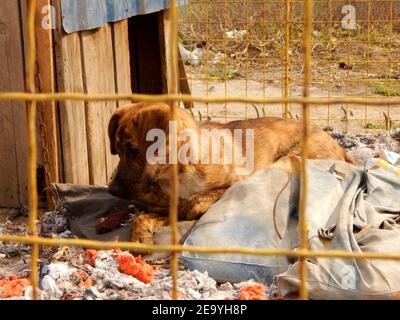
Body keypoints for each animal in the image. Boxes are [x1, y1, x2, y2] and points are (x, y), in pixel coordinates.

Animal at [107, 102, 354, 220]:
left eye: (134, 150)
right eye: (117, 150)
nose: (112, 191)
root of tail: (341, 148)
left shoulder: (235, 183)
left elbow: (195, 202)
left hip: (287, 160)